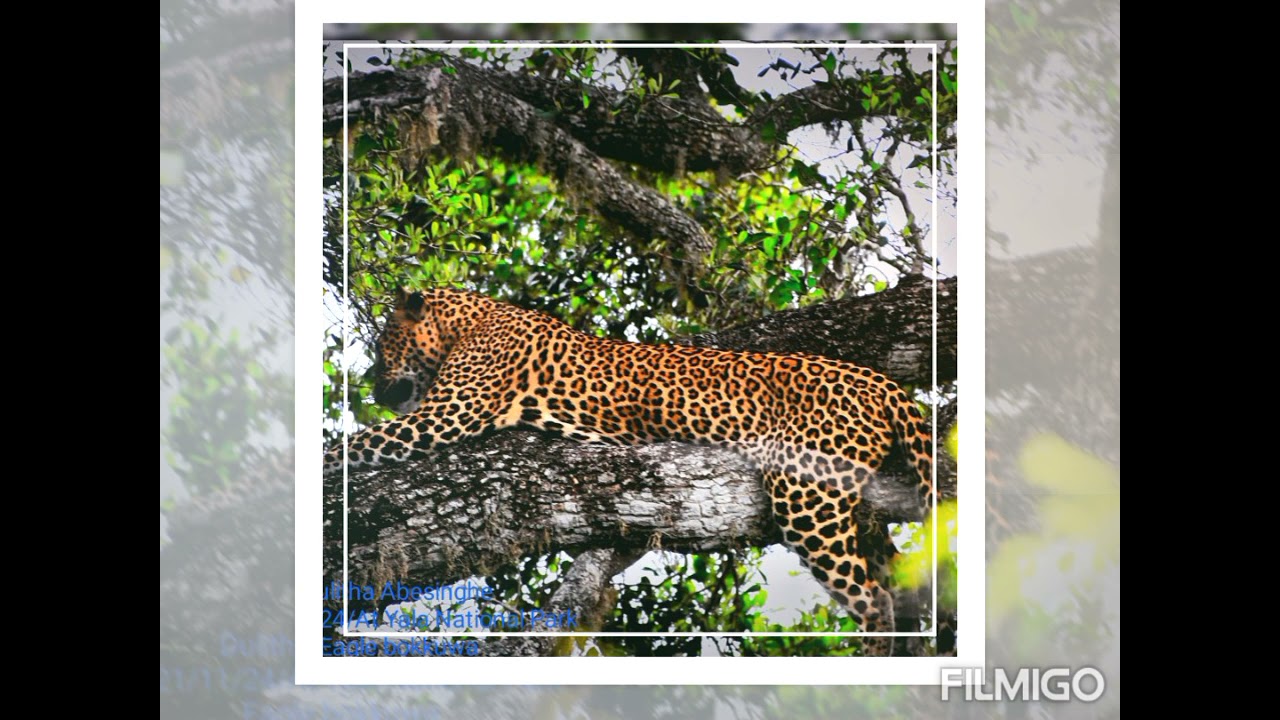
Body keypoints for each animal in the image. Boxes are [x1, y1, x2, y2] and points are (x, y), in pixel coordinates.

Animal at [325, 287, 934, 656]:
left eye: (383, 344)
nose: (371, 385)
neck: (468, 320)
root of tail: (881, 382)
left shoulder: (441, 417)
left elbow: (353, 443)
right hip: (859, 510)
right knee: (902, 585)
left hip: (809, 498)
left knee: (871, 600)